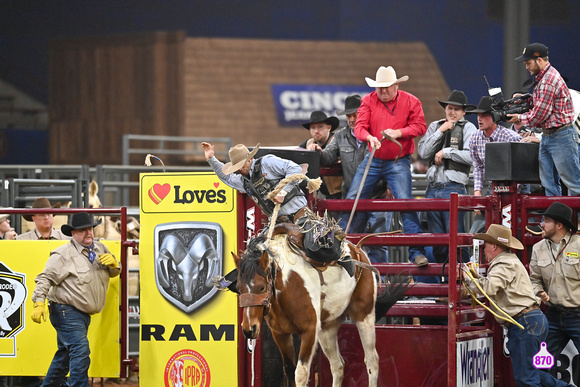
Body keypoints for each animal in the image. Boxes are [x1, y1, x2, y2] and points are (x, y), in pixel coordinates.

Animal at [233, 227, 406, 387]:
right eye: (239, 288)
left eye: (261, 287)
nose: (249, 329)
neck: (287, 285)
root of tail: (358, 251)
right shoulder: (280, 334)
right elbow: (289, 371)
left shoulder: (309, 332)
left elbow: (300, 374)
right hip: (327, 328)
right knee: (337, 365)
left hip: (365, 316)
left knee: (372, 361)